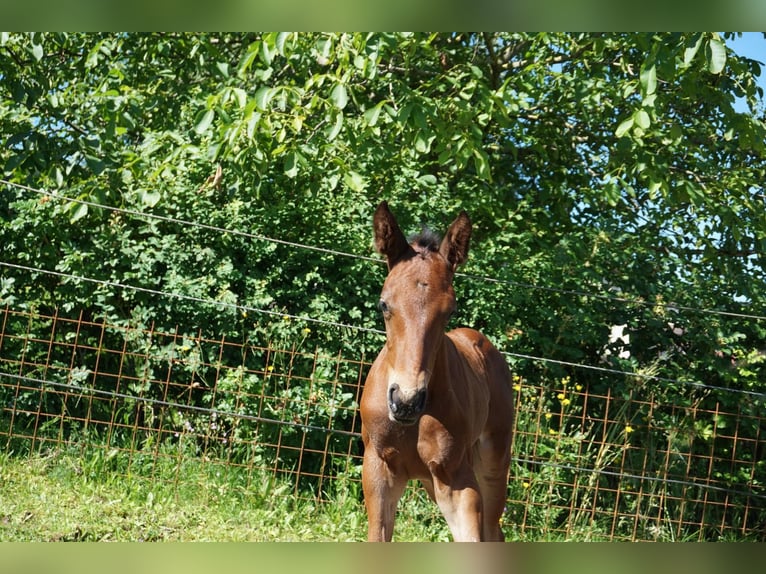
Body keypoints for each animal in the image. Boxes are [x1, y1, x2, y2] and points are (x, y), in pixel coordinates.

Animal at [360, 201, 515, 542]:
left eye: (450, 310)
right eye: (383, 304)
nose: (406, 401)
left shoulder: (457, 480)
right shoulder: (378, 469)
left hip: (493, 463)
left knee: (493, 529)